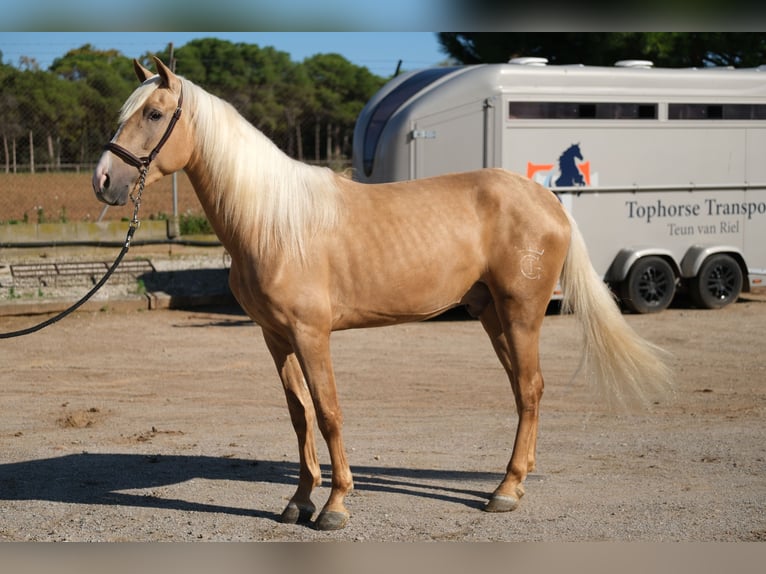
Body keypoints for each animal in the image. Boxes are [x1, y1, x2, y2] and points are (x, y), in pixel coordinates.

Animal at [94, 57, 672, 532]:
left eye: (154, 113)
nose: (103, 180)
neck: (273, 221)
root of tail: (547, 199)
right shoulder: (275, 337)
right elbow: (300, 414)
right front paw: (299, 501)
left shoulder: (311, 334)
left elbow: (328, 411)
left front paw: (335, 506)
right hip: (491, 314)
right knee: (523, 390)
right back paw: (517, 479)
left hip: (522, 312)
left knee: (529, 390)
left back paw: (505, 492)